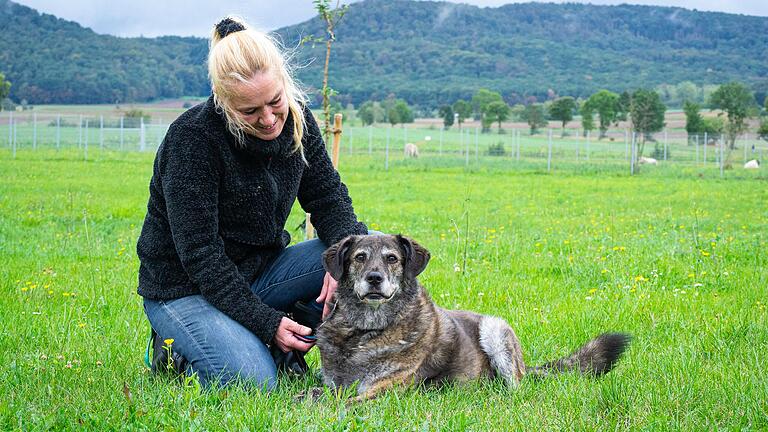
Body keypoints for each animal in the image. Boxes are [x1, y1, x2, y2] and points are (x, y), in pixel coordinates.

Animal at [316, 235, 632, 400]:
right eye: (359, 257)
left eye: (392, 258)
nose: (374, 278)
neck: (365, 331)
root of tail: (526, 367)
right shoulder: (335, 383)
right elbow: (320, 393)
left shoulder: (382, 390)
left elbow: (336, 404)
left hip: (495, 330)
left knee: (517, 390)